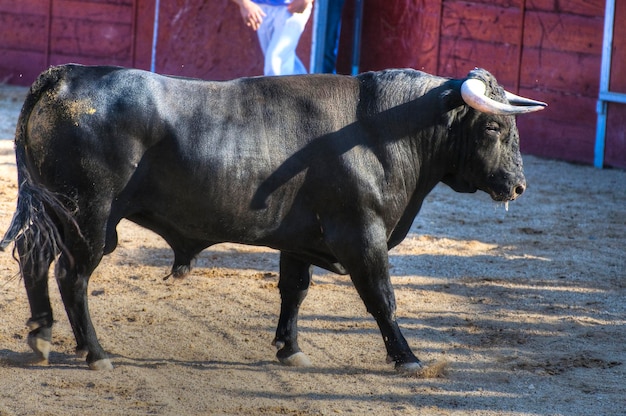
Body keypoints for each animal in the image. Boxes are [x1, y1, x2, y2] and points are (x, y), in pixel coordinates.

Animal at [0, 66, 544, 374]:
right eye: (493, 127)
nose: (518, 186)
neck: (381, 130)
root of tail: (67, 76)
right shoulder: (361, 235)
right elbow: (382, 298)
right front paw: (407, 358)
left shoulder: (299, 240)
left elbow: (294, 291)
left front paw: (290, 349)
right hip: (89, 218)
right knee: (72, 277)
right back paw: (95, 353)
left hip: (57, 215)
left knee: (36, 261)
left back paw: (41, 335)